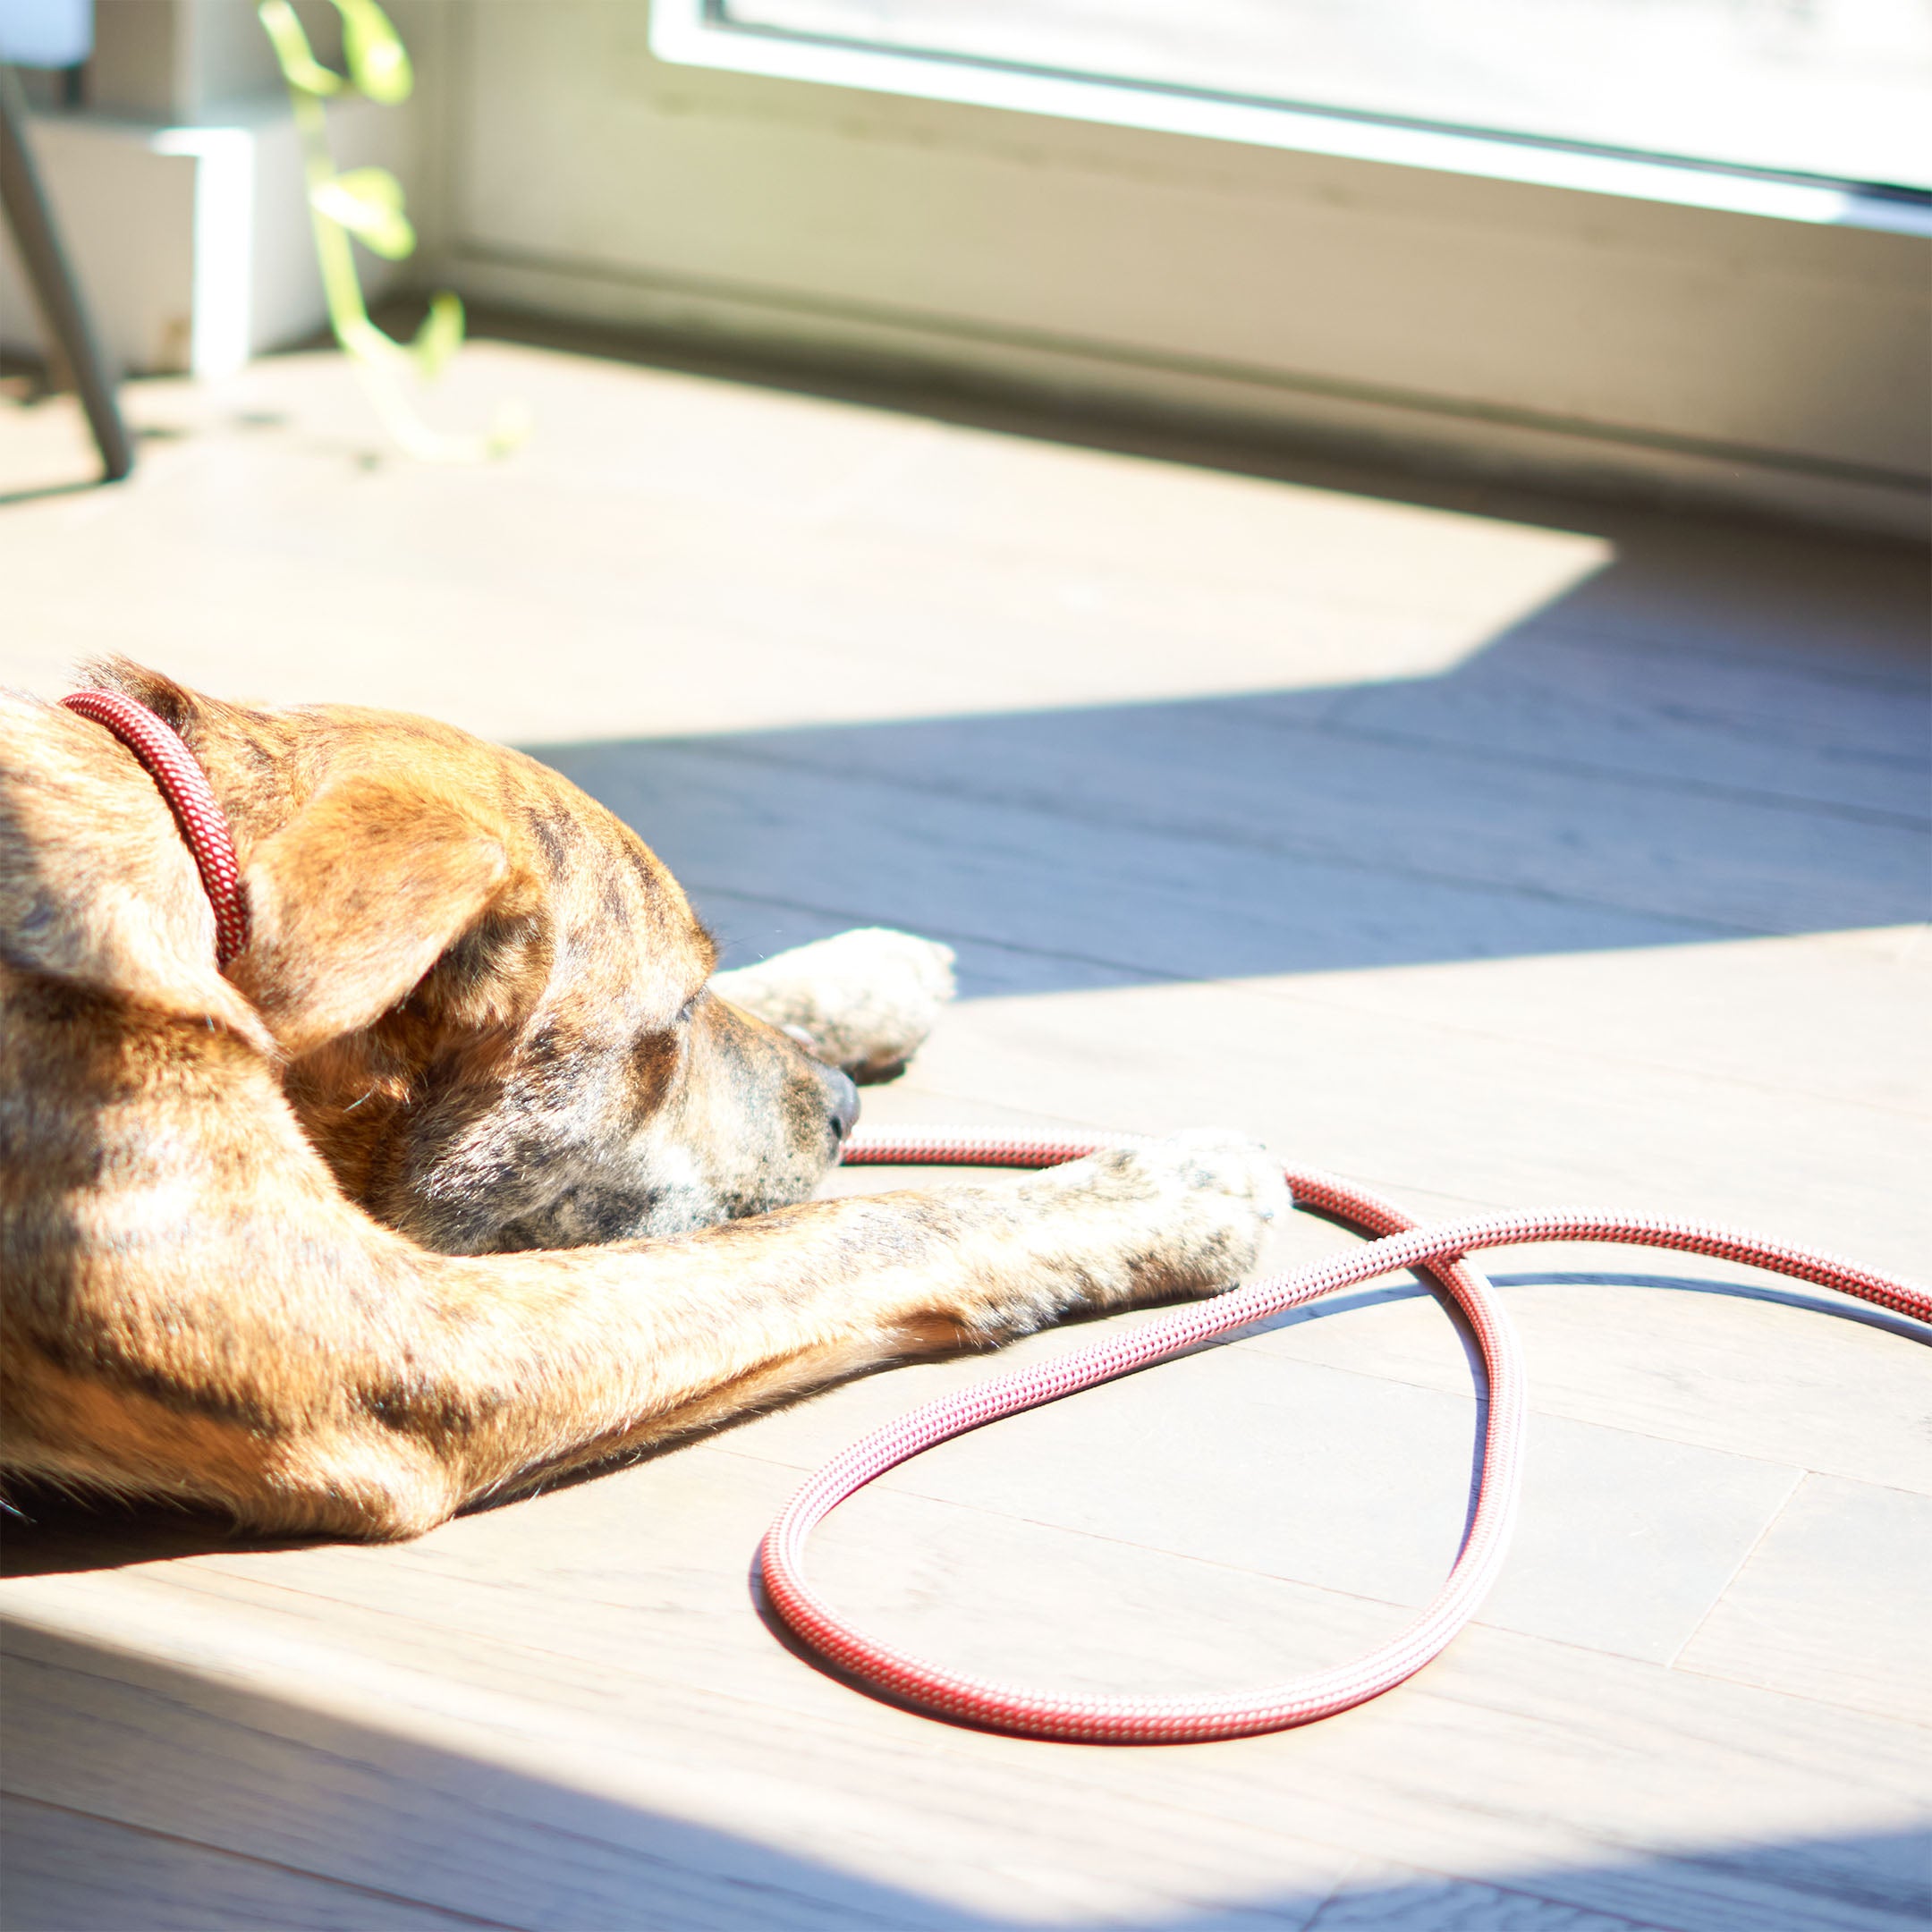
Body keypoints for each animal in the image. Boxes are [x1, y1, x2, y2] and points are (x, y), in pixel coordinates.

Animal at [7, 665, 1290, 1538]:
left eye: (694, 996)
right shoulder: (404, 1343)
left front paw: (859, 980)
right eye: (665, 1027)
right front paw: (1163, 1191)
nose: (847, 1110)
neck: (181, 859)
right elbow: (868, 1227)